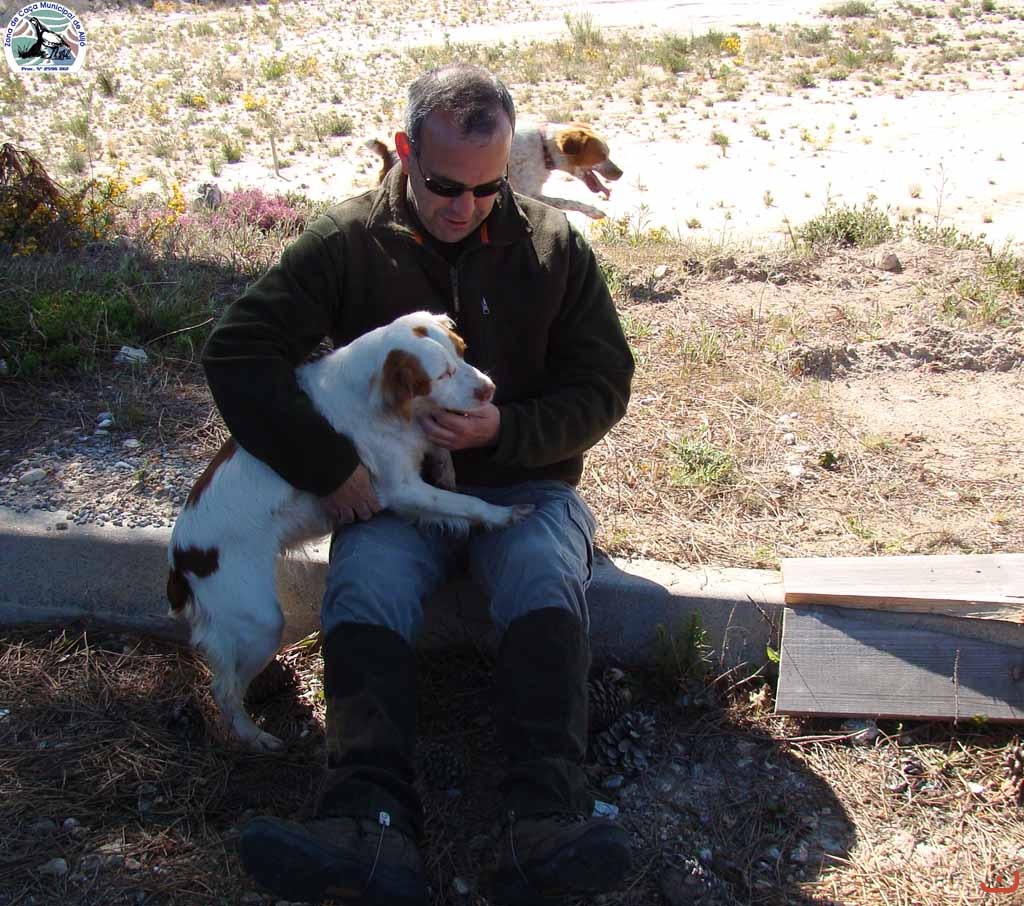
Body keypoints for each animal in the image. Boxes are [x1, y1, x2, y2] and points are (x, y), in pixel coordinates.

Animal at [167, 312, 533, 751]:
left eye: (462, 352)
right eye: (442, 374)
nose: (489, 390)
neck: (379, 401)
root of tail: (182, 556)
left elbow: (439, 451)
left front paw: (446, 465)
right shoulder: (401, 488)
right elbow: (467, 505)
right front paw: (503, 514)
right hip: (258, 620)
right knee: (224, 690)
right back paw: (256, 737)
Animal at [367, 121, 623, 219]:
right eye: (602, 155)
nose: (620, 173)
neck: (544, 148)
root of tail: (388, 153)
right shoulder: (530, 193)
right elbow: (568, 201)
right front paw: (593, 211)